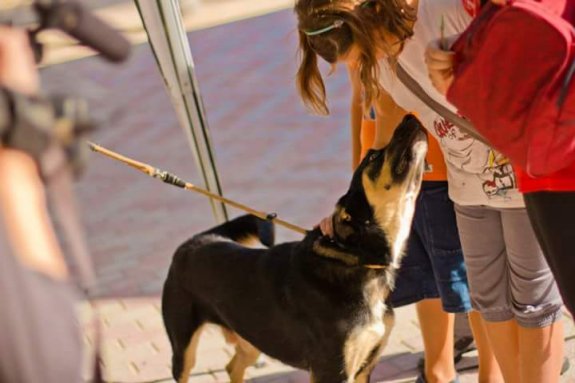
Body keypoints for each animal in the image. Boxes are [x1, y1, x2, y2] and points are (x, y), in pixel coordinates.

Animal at [162, 115, 428, 383]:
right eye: (372, 157)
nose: (410, 116)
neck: (356, 257)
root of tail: (199, 238)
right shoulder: (331, 371)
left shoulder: (365, 366)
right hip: (184, 348)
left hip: (251, 340)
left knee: (233, 366)